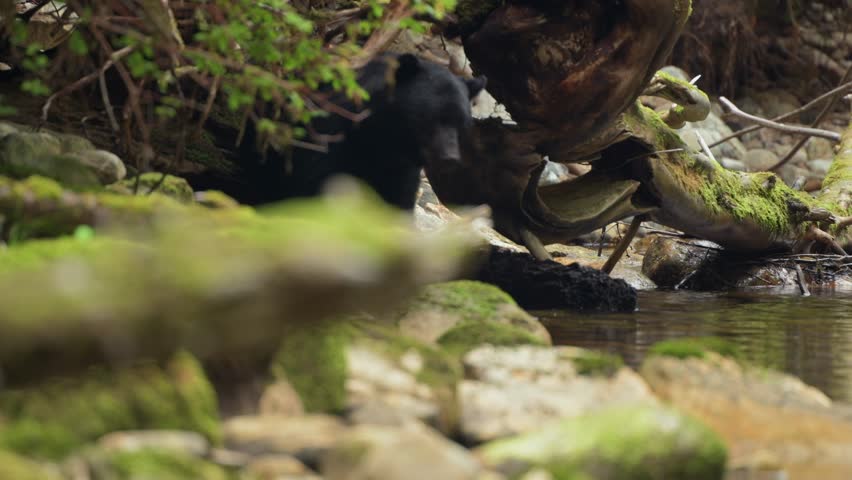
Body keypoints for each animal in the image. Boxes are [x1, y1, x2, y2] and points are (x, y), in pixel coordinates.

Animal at [191, 53, 487, 210]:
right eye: (429, 117)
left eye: (462, 122)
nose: (449, 158)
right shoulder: (325, 143)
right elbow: (314, 188)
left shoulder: (401, 170)